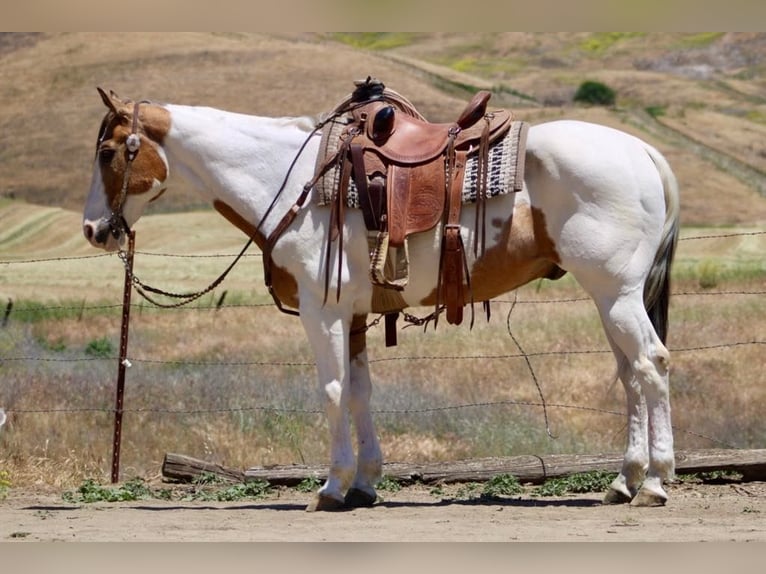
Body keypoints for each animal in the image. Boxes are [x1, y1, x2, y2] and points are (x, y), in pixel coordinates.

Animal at [83, 85, 680, 510]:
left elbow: (331, 391)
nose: (93, 230)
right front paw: (365, 484)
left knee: (651, 365)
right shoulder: (354, 316)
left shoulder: (322, 312)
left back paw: (656, 481)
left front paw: (331, 487)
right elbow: (360, 393)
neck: (292, 180)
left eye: (109, 152)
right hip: (609, 299)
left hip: (617, 294)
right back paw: (623, 481)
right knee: (630, 375)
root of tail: (645, 152)